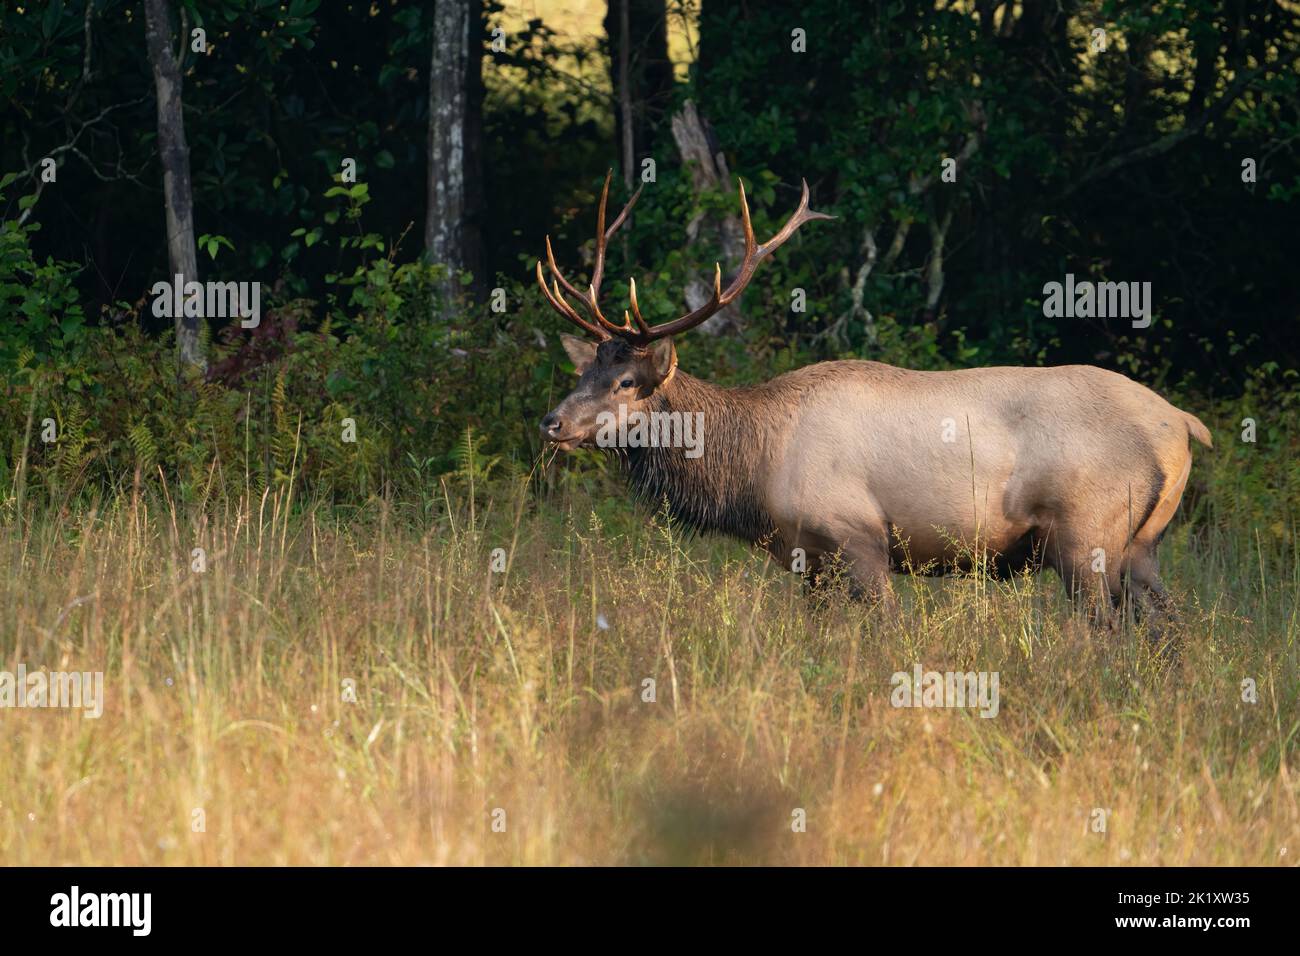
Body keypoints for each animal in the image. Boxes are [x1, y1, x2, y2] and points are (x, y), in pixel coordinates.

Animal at [535, 171, 1206, 624]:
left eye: (627, 382)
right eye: (583, 372)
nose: (553, 422)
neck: (753, 473)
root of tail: (1181, 425)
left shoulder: (859, 537)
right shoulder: (808, 561)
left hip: (1086, 534)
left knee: (1106, 632)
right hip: (1141, 545)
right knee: (1169, 629)